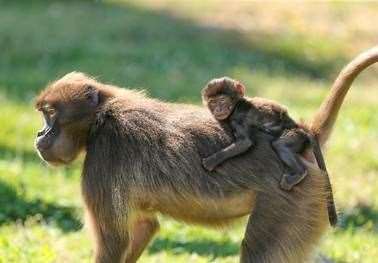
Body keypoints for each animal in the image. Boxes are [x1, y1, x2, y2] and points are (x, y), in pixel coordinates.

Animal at [34, 46, 376, 262]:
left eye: (50, 115)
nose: (39, 136)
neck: (101, 117)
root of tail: (304, 136)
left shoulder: (104, 156)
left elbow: (114, 243)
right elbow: (145, 226)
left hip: (292, 200)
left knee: (259, 252)